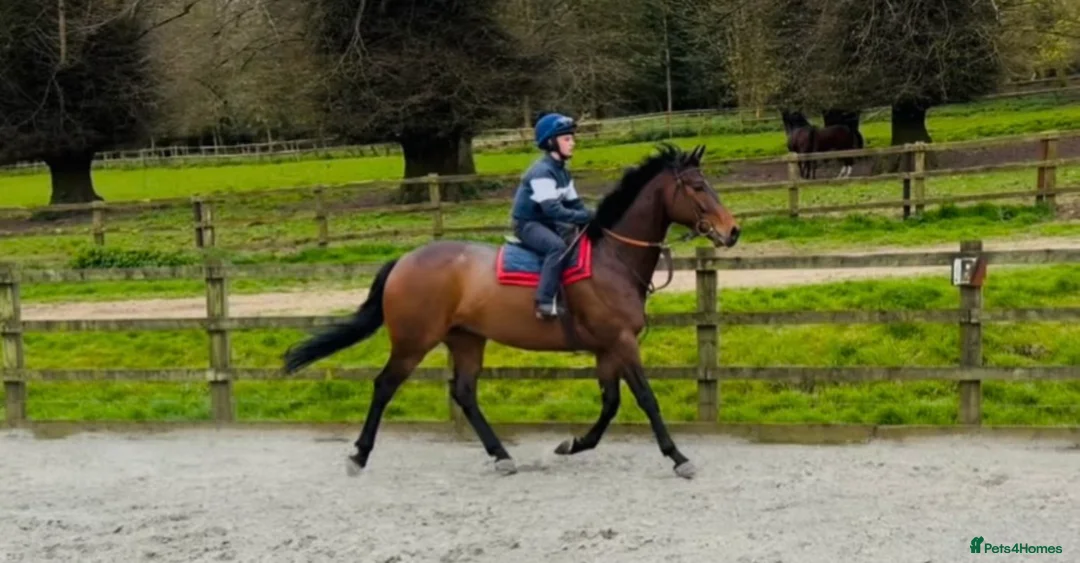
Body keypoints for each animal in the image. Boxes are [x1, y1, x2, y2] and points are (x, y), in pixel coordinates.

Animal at [281, 143, 740, 480]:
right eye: (697, 187)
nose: (732, 231)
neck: (613, 258)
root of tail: (404, 260)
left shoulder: (607, 349)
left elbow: (610, 404)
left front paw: (572, 444)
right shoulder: (621, 343)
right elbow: (646, 399)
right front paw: (678, 457)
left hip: (466, 340)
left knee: (464, 393)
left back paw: (501, 454)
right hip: (414, 342)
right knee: (384, 386)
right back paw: (359, 455)